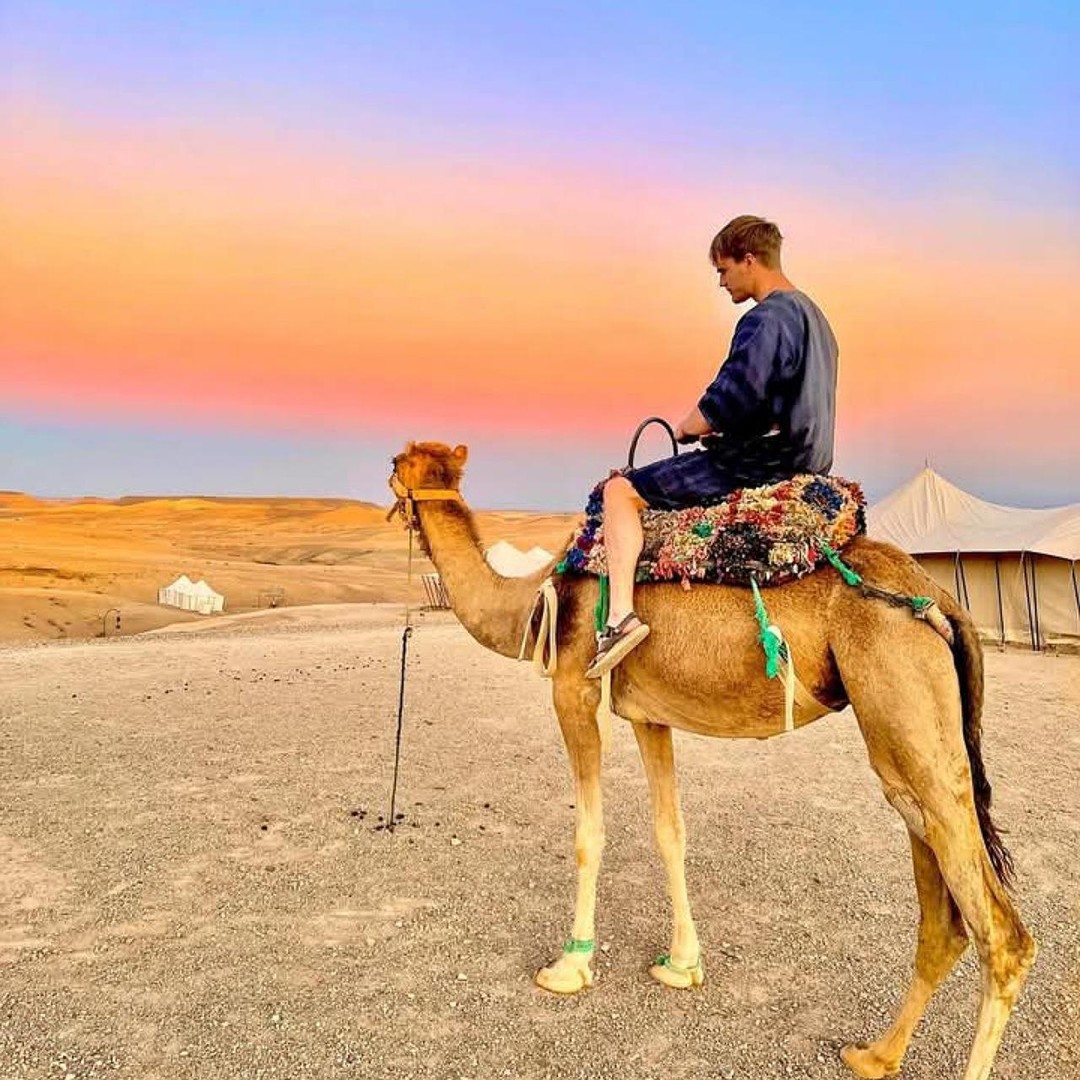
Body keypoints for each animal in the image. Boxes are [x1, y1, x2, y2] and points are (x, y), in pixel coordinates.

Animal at [389, 441, 1036, 1080]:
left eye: (397, 465)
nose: (392, 491)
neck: (531, 597)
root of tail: (941, 597)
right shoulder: (648, 713)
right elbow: (669, 831)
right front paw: (681, 963)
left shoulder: (574, 688)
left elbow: (588, 834)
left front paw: (569, 966)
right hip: (903, 738)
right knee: (942, 910)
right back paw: (875, 1055)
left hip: (903, 699)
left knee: (1001, 935)